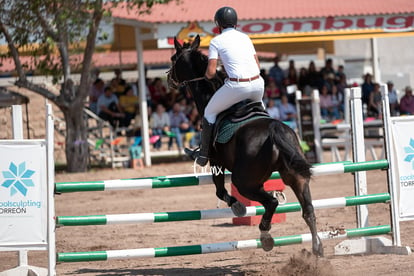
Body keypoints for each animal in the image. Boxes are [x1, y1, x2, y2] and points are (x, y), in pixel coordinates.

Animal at [167, 35, 324, 256]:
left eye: (173, 58)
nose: (169, 79)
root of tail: (275, 129)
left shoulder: (216, 162)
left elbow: (220, 191)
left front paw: (238, 207)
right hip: (295, 177)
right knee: (308, 210)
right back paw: (317, 248)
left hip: (245, 181)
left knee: (272, 202)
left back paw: (266, 236)